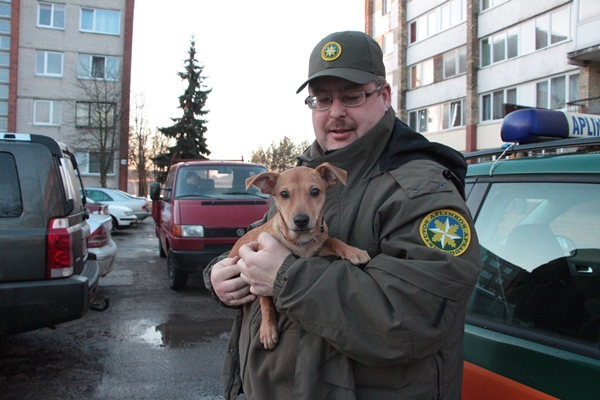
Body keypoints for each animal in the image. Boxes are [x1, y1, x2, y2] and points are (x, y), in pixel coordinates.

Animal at [230, 162, 370, 350]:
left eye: (315, 191)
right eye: (284, 194)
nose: (301, 220)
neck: (300, 241)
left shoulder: (319, 246)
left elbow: (334, 240)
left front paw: (353, 251)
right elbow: (265, 301)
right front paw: (268, 330)